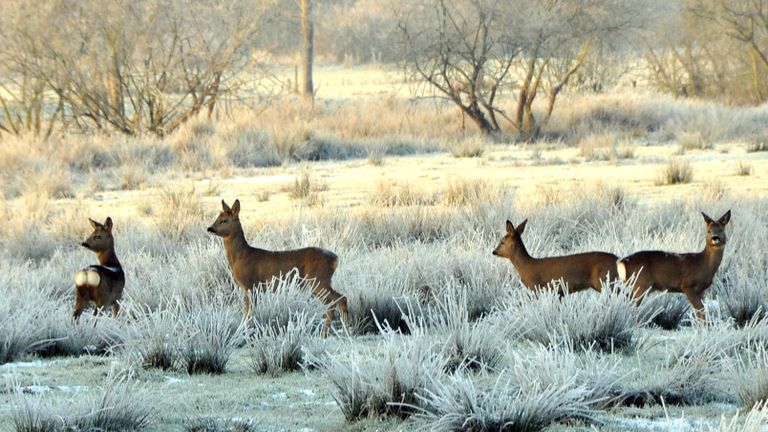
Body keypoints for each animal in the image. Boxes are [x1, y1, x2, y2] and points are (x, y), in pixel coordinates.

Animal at [206, 199, 346, 338]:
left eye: (224, 220)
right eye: (217, 217)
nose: (210, 228)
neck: (241, 257)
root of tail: (335, 259)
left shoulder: (252, 285)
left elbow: (250, 313)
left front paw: (248, 333)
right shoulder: (247, 289)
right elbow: (246, 312)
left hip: (318, 281)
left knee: (339, 300)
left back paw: (336, 332)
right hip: (319, 282)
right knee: (337, 301)